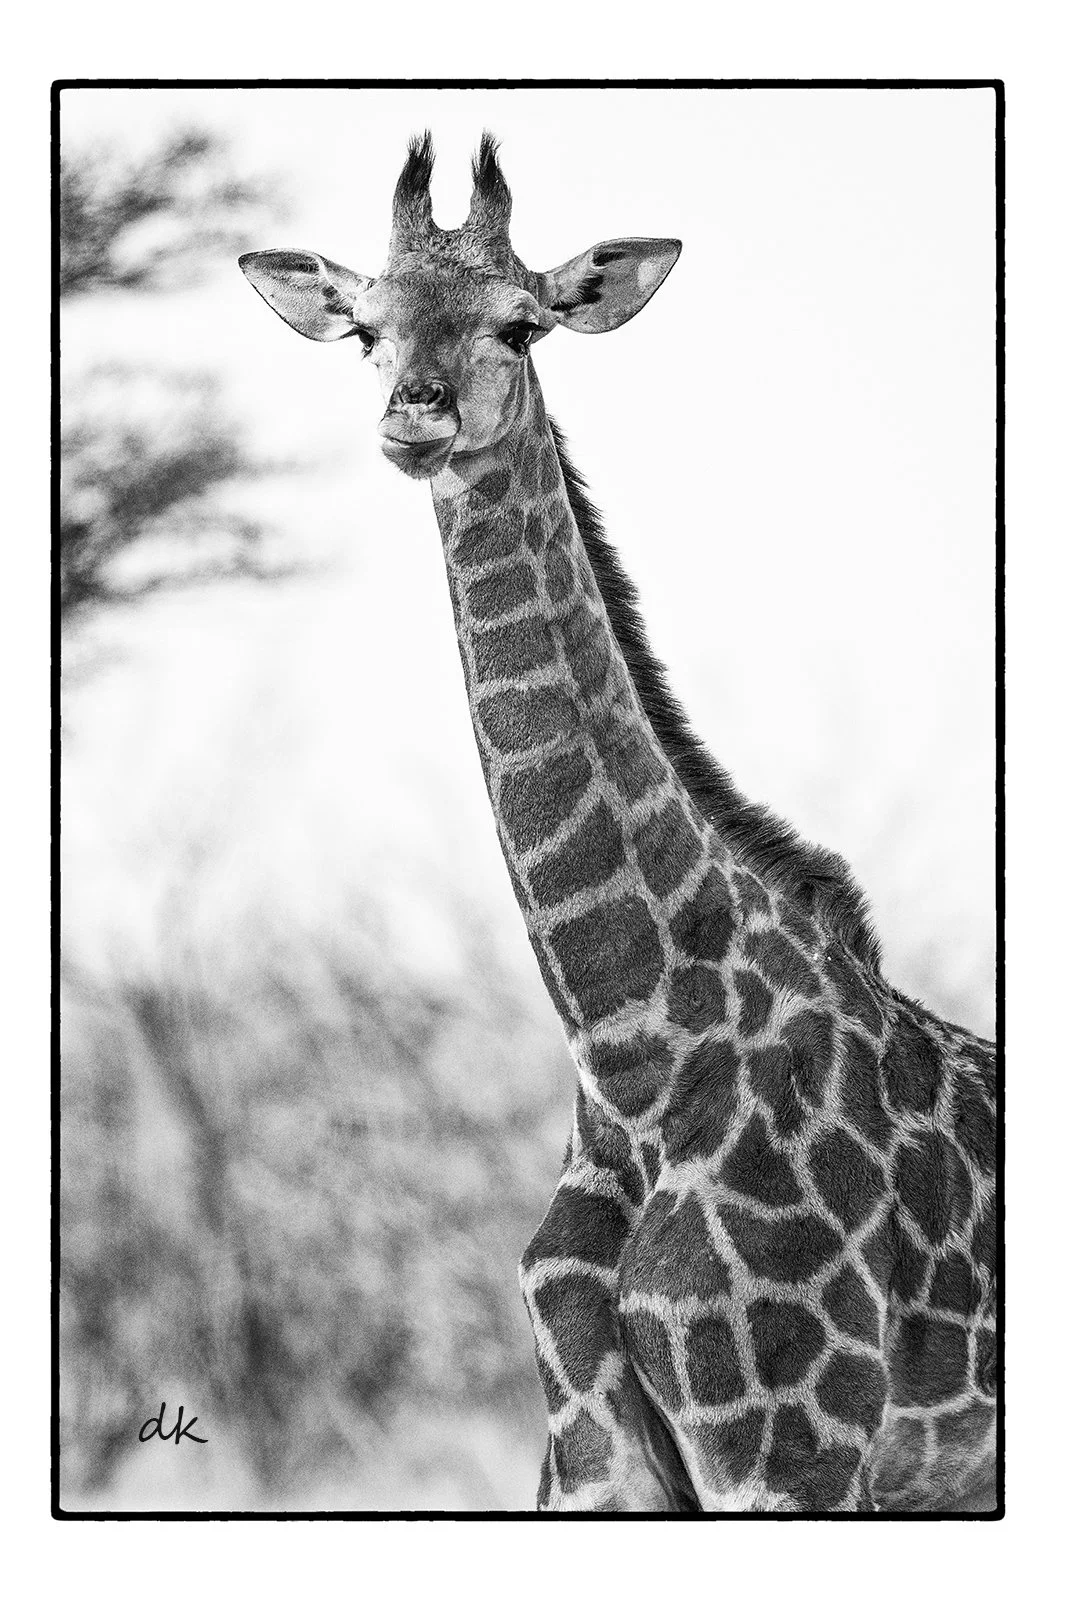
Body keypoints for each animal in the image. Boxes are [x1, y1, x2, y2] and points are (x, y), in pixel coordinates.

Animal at [239, 133, 997, 1514]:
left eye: (521, 323)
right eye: (364, 327)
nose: (415, 414)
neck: (631, 1047)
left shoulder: (792, 1454)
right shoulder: (592, 1458)